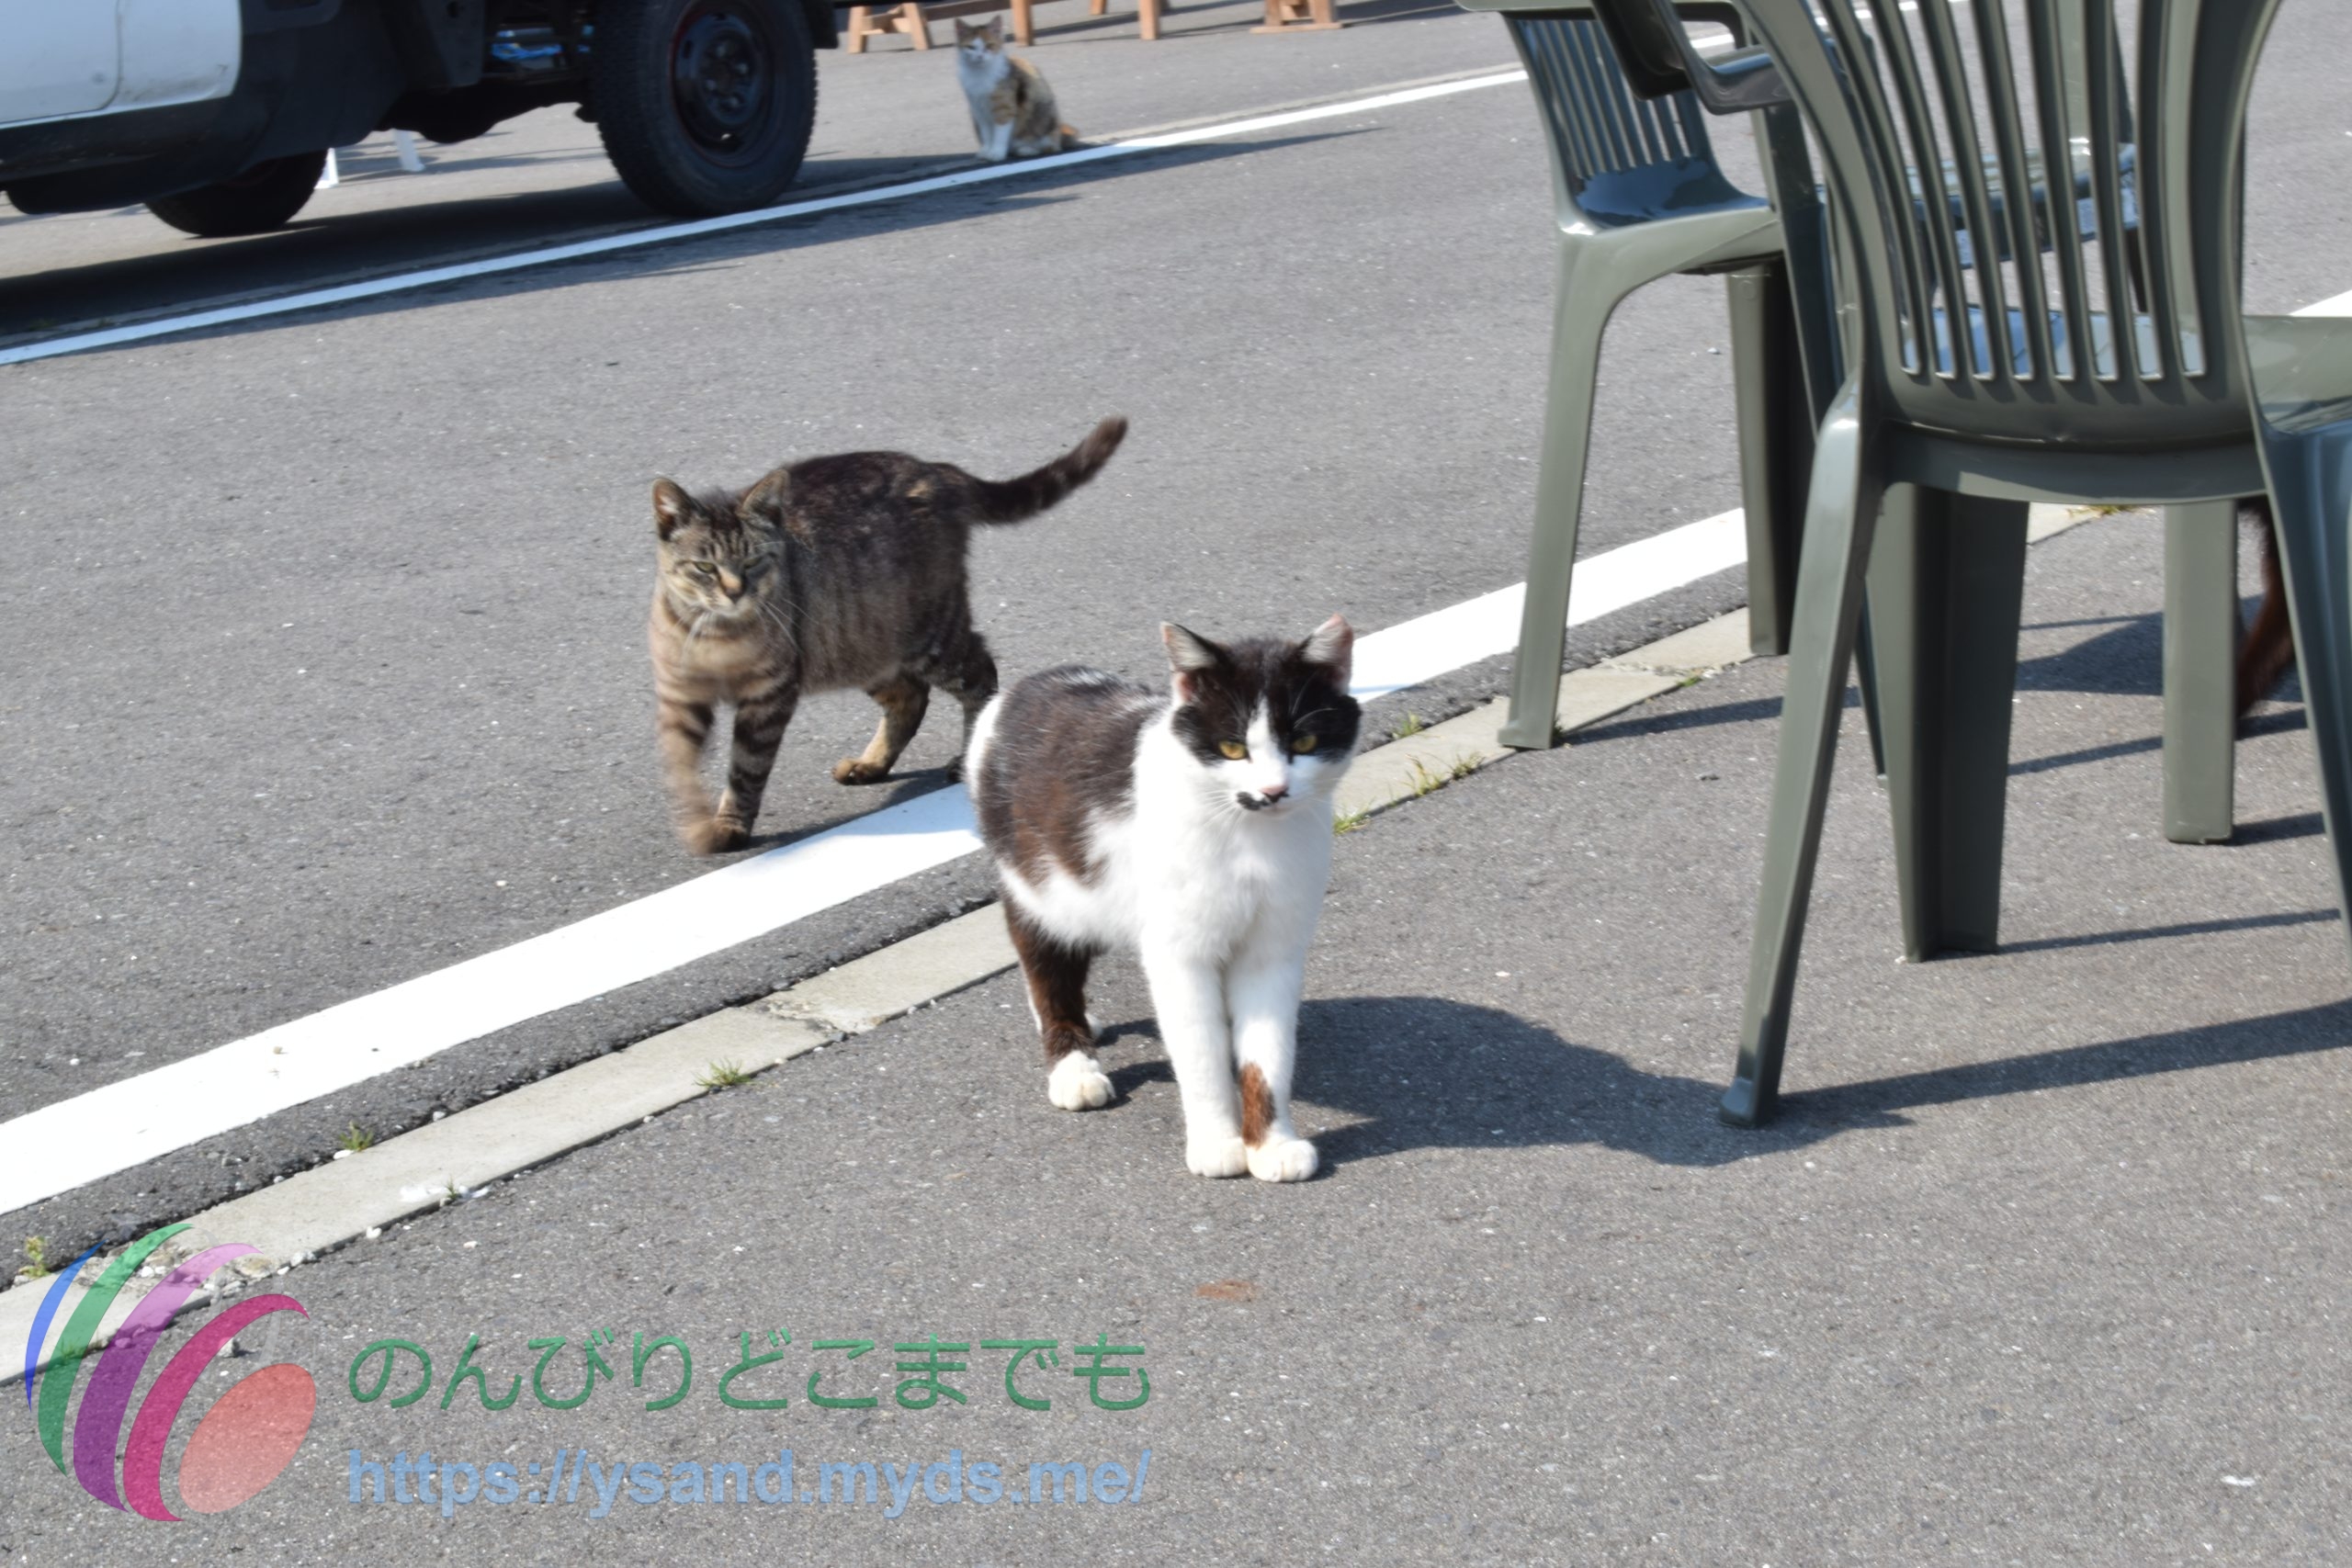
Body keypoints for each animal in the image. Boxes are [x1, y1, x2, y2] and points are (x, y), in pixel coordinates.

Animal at [647, 415, 1127, 855]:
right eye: (705, 567)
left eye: (752, 562)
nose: (735, 592)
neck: (719, 632)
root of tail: (933, 469)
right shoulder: (680, 694)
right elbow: (681, 763)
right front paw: (697, 820)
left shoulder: (769, 697)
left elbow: (747, 769)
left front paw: (730, 823)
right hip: (859, 645)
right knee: (910, 698)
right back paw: (871, 763)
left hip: (930, 636)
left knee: (981, 675)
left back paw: (965, 757)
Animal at [954, 19, 1077, 163]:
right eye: (971, 47)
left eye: (989, 45)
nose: (980, 56)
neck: (979, 74)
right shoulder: (978, 110)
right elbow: (986, 134)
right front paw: (987, 151)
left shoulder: (1005, 109)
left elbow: (1000, 133)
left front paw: (996, 152)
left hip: (1043, 116)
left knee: (1048, 146)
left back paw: (1026, 150)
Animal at [966, 616, 1361, 1183]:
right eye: (1232, 748)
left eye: (1305, 740)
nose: (1272, 791)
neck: (1248, 838)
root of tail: (1022, 687)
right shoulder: (1180, 955)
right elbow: (1200, 1051)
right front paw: (1218, 1142)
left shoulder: (1274, 952)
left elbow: (1267, 1053)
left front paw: (1272, 1144)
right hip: (1041, 886)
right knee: (1045, 964)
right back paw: (1071, 1061)